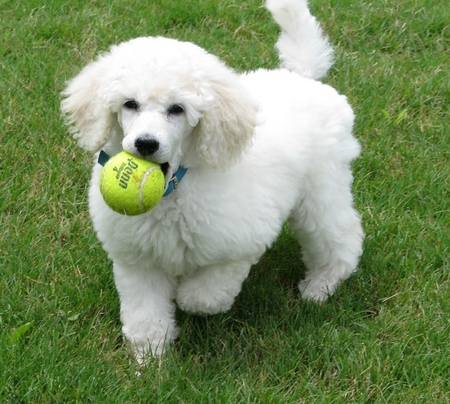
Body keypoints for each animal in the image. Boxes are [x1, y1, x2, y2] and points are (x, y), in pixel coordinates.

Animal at [60, 0, 362, 362]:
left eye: (177, 109)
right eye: (130, 104)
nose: (145, 144)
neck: (173, 189)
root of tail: (301, 78)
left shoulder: (240, 245)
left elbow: (206, 295)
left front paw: (186, 297)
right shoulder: (138, 261)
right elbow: (145, 314)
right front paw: (151, 360)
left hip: (322, 188)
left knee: (340, 237)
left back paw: (320, 286)